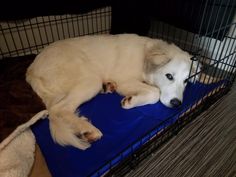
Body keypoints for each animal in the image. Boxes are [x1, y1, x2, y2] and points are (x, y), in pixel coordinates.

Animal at [26, 33, 199, 149]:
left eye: (186, 81)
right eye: (169, 76)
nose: (177, 104)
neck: (144, 58)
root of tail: (31, 71)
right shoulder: (125, 80)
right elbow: (155, 93)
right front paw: (130, 102)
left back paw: (107, 87)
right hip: (90, 80)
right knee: (59, 109)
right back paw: (88, 129)